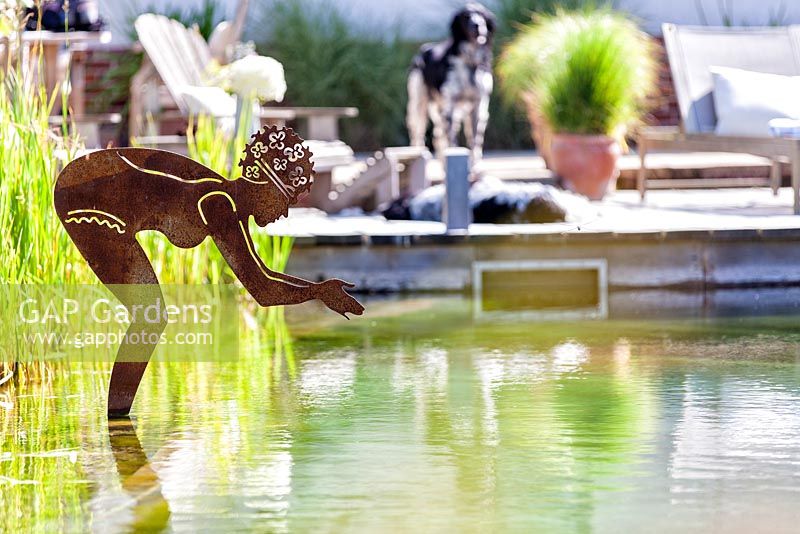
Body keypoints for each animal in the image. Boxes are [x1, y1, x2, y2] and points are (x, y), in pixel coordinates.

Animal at [406, 2, 494, 161]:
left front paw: (475, 164)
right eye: (466, 16)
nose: (478, 24)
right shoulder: (450, 106)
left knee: (438, 137)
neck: (469, 61)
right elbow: (452, 141)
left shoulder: (479, 106)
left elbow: (475, 141)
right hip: (419, 105)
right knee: (418, 135)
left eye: (482, 15)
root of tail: (424, 48)